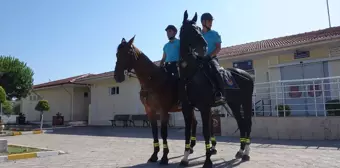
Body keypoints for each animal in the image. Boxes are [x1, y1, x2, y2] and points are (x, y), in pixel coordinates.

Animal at [115, 37, 215, 165]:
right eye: (117, 54)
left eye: (127, 53)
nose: (117, 76)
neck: (152, 81)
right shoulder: (150, 111)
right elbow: (154, 131)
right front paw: (154, 155)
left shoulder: (163, 111)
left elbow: (163, 132)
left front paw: (164, 157)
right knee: (194, 122)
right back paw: (191, 147)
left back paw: (211, 148)